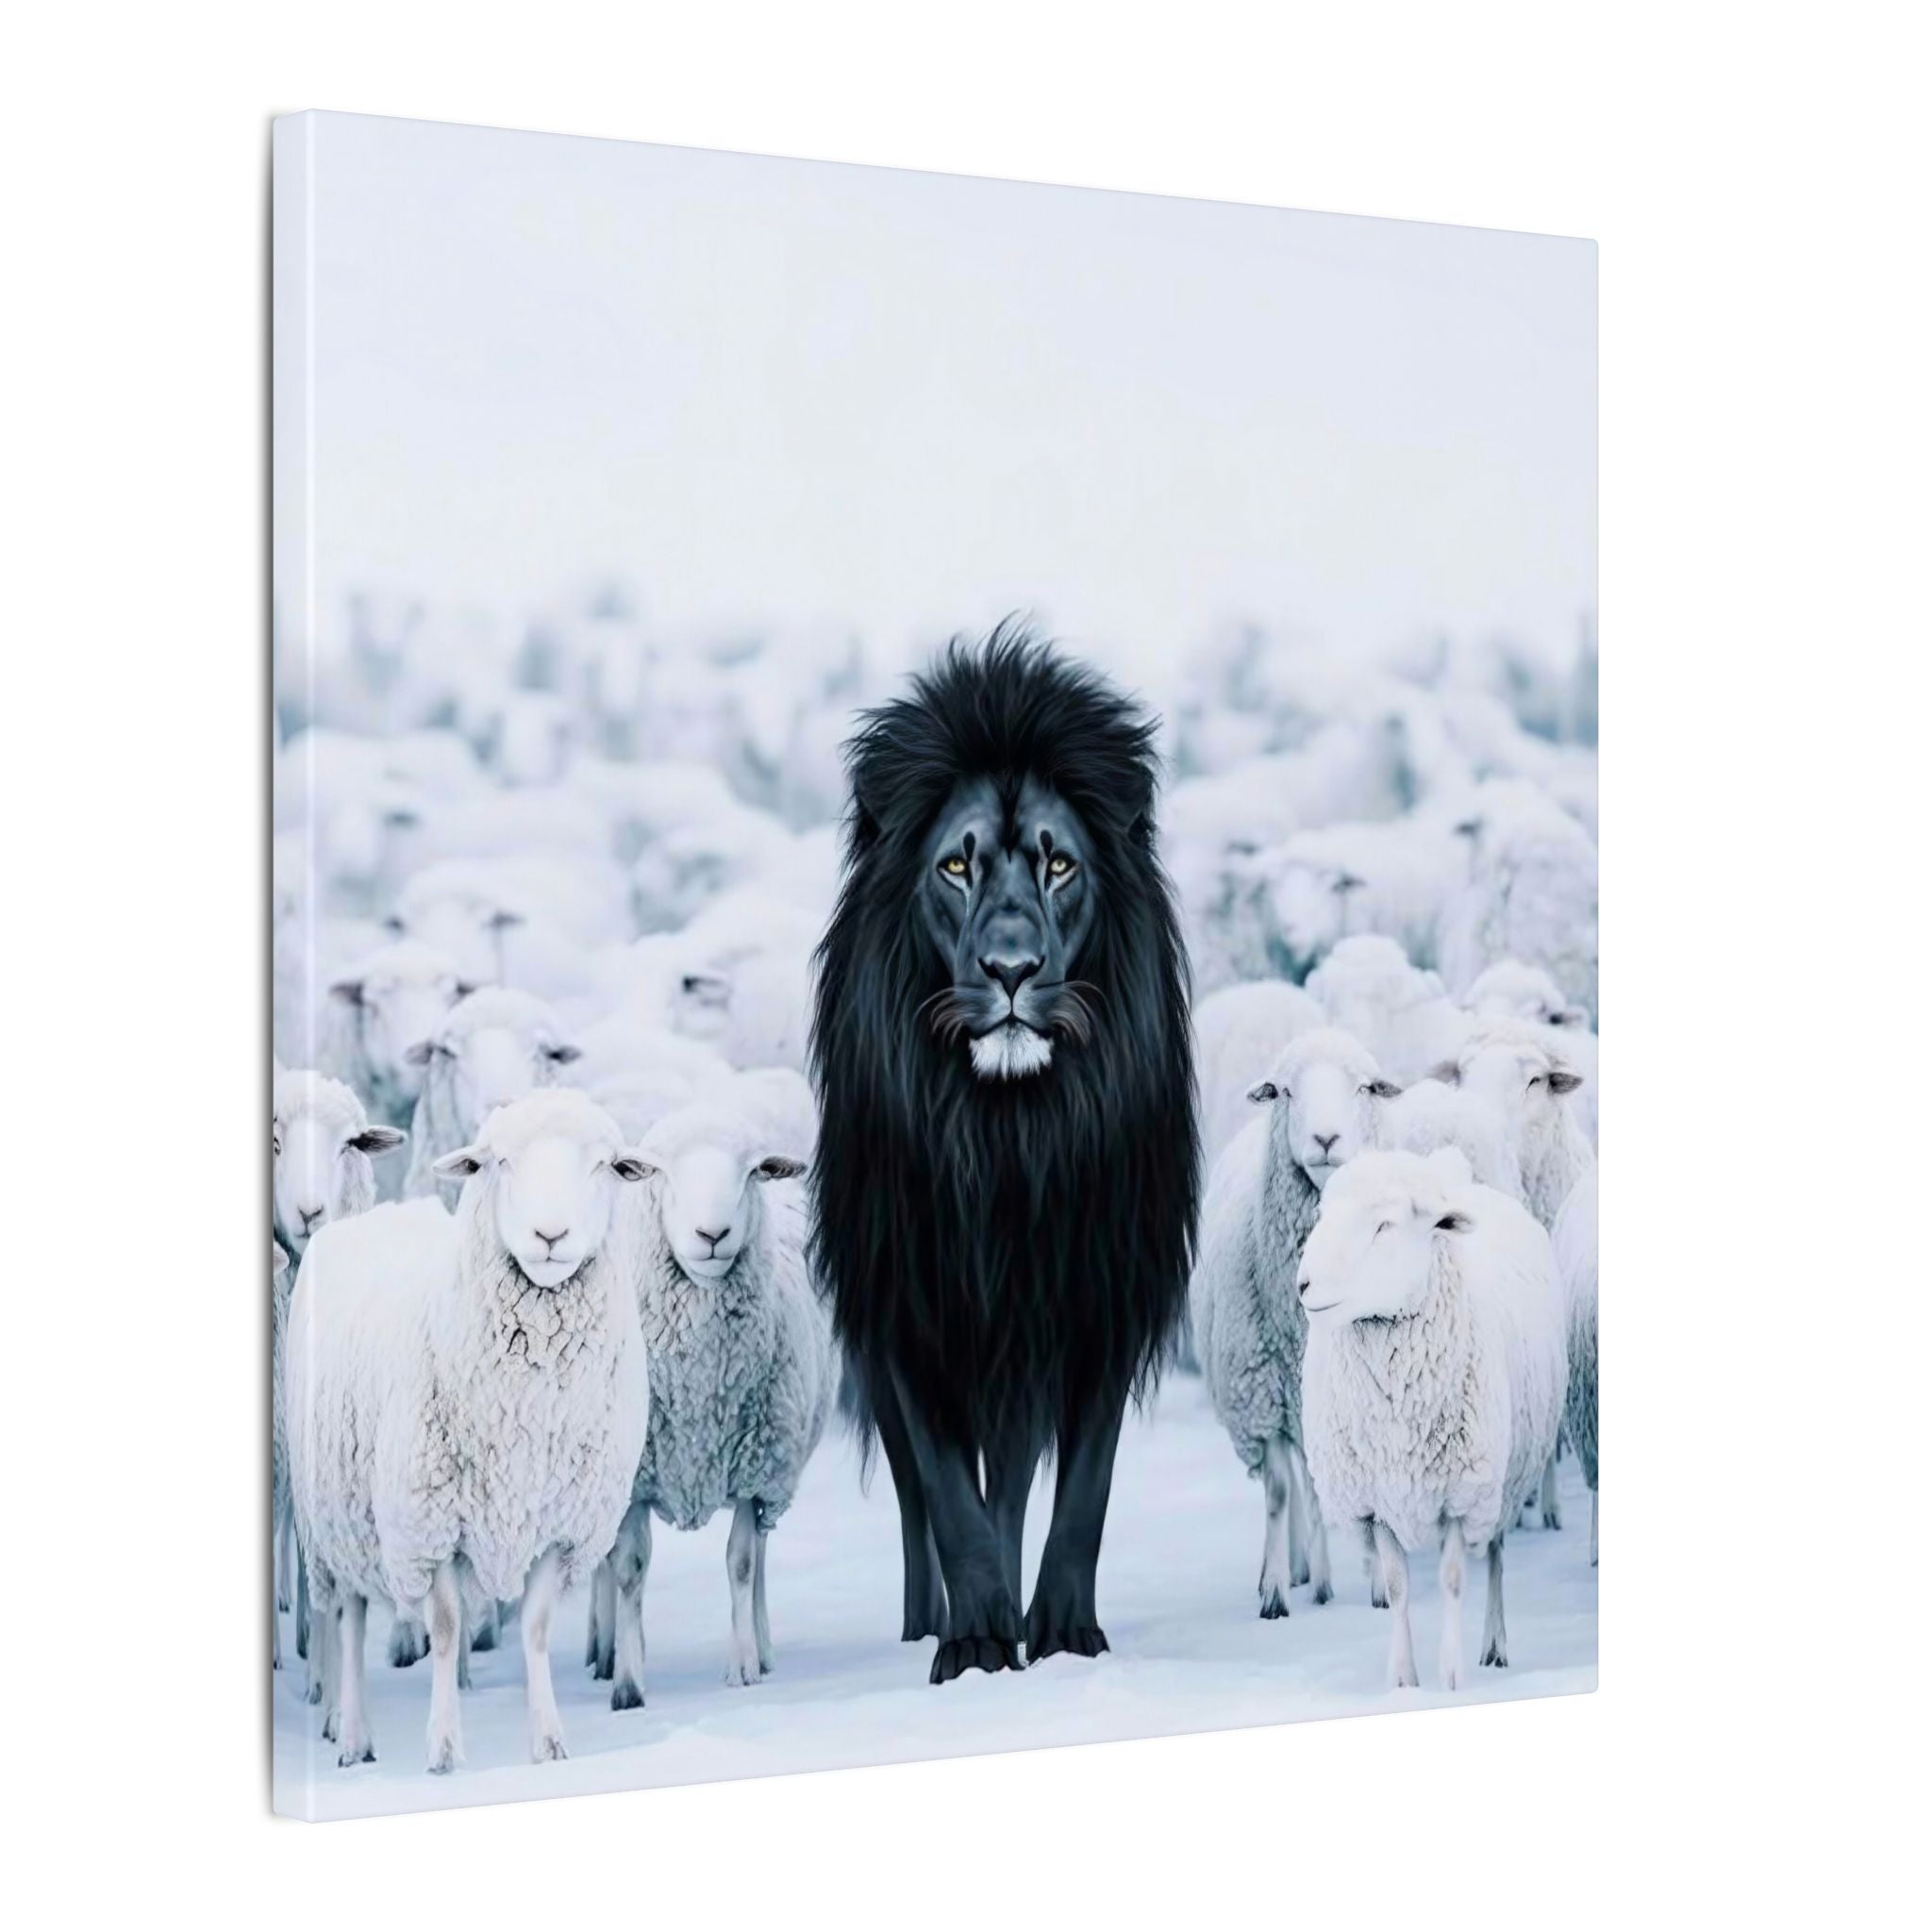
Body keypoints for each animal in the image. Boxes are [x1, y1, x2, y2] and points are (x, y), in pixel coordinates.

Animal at [286, 1090, 652, 1771]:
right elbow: (448, 1627)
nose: (550, 1236)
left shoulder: (556, 1524)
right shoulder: (429, 1527)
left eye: (606, 1166)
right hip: (336, 1520)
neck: (528, 1408)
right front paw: (445, 1749)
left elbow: (533, 1629)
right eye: (497, 1162)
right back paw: (351, 1735)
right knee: (348, 1617)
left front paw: (548, 1743)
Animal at [586, 1082, 834, 1705]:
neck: (702, 1386)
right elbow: (629, 1568)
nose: (713, 1236)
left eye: (751, 1173)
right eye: (660, 1172)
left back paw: (763, 1649)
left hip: (777, 1474)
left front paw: (742, 1666)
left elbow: (742, 1564)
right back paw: (603, 1650)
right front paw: (627, 1683)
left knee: (763, 1555)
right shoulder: (635, 1476)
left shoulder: (753, 1468)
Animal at [810, 624, 1199, 1682]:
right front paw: (977, 1642)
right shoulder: (910, 1306)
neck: (1009, 1136)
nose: (1013, 970)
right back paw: (928, 1625)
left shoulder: (1097, 1298)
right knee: (922, 1505)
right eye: (956, 866)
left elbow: (1081, 1492)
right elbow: (951, 1501)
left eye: (1059, 866)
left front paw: (1061, 1635)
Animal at [1189, 1028, 1399, 1616]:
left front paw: (1381, 1587)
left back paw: (1325, 1577)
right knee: (1292, 1483)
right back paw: (1300, 1570)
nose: (1326, 1138)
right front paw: (1276, 1592)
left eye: (1364, 1088)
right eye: (1284, 1090)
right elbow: (1280, 1493)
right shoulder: (1258, 1402)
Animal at [1297, 1148, 1565, 1689]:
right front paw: (1404, 1681)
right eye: (1323, 1216)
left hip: (1501, 1481)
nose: (1303, 1284)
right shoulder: (1375, 1502)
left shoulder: (1460, 1496)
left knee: (1497, 1557)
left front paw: (1451, 1676)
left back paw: (1494, 1645)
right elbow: (1397, 1586)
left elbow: (1453, 1580)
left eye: (1383, 1225)